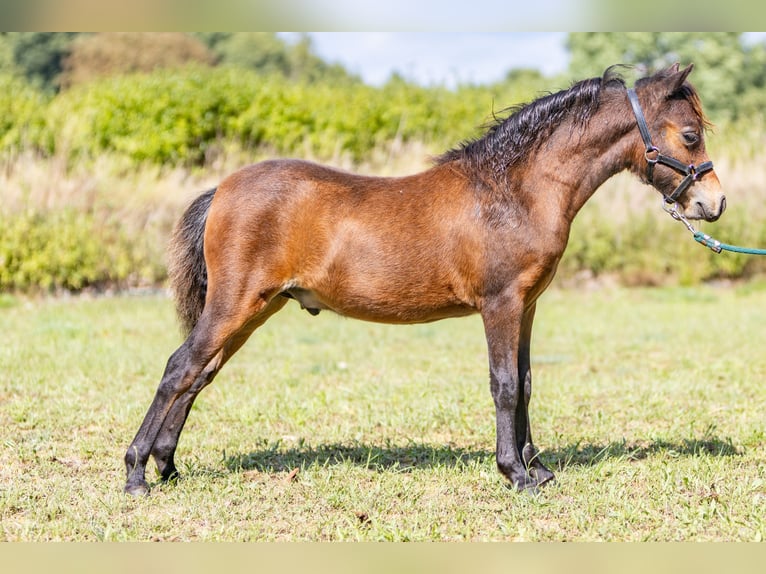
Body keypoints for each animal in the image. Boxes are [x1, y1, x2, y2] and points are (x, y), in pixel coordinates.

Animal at [123, 60, 728, 498]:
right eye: (689, 135)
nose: (714, 203)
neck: (514, 190)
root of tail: (222, 190)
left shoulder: (528, 305)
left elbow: (527, 382)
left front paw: (538, 468)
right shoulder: (501, 305)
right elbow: (504, 385)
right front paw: (516, 475)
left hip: (253, 309)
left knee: (198, 373)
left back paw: (168, 469)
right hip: (235, 305)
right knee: (179, 368)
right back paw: (136, 475)